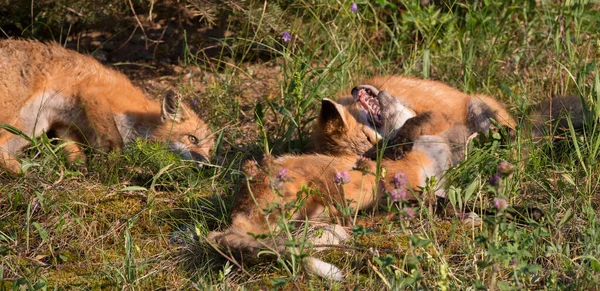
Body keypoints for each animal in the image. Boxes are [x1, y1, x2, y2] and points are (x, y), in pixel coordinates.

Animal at [0, 40, 214, 175]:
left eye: (210, 151)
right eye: (192, 139)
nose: (207, 164)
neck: (140, 122)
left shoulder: (63, 123)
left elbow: (72, 147)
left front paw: (80, 165)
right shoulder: (94, 94)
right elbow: (115, 140)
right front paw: (112, 165)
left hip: (32, 125)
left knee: (2, 150)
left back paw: (25, 173)